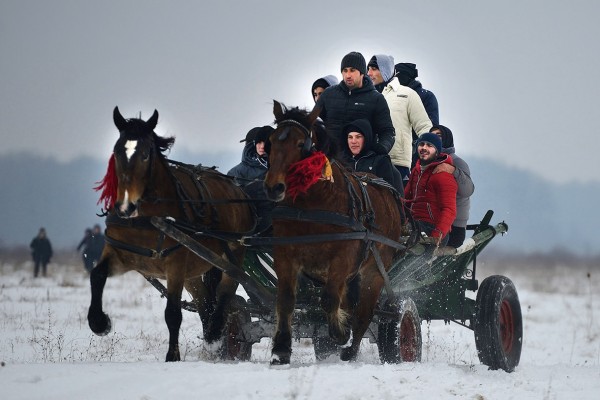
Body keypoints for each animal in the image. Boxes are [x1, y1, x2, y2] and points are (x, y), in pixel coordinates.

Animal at [88, 107, 254, 362]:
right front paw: (99, 322)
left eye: (145, 154)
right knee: (205, 302)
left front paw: (172, 356)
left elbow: (173, 313)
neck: (148, 218)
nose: (125, 207)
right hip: (195, 271)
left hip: (232, 253)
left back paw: (216, 332)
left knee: (227, 289)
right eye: (117, 151)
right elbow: (97, 275)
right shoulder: (121, 253)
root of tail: (237, 188)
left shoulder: (175, 263)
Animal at [262, 101, 404, 366]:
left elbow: (329, 300)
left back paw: (350, 348)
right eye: (272, 141)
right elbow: (285, 300)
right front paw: (281, 350)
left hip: (375, 269)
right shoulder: (285, 253)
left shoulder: (342, 257)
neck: (312, 206)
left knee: (364, 313)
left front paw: (341, 334)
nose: (273, 187)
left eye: (301, 144)